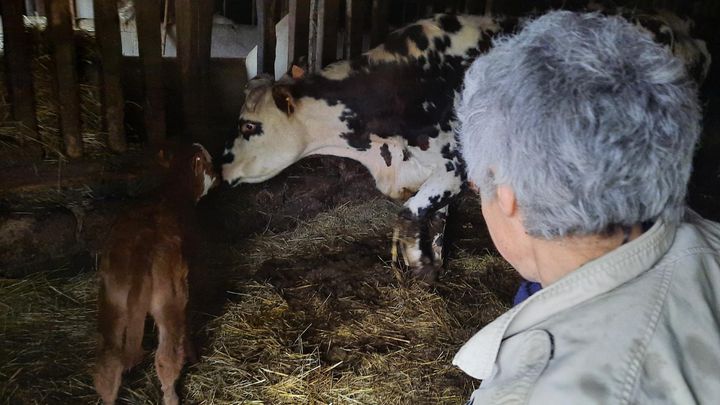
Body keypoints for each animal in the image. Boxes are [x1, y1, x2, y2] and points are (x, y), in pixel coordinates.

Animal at [95, 144, 219, 402]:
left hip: (112, 300)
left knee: (108, 364)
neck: (173, 189)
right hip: (168, 299)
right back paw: (173, 397)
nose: (220, 176)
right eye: (210, 164)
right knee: (166, 359)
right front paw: (194, 357)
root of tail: (141, 245)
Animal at [222, 11, 712, 280]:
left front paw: (415, 262)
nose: (222, 169)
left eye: (248, 126)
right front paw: (432, 267)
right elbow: (434, 218)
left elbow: (411, 213)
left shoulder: (455, 164)